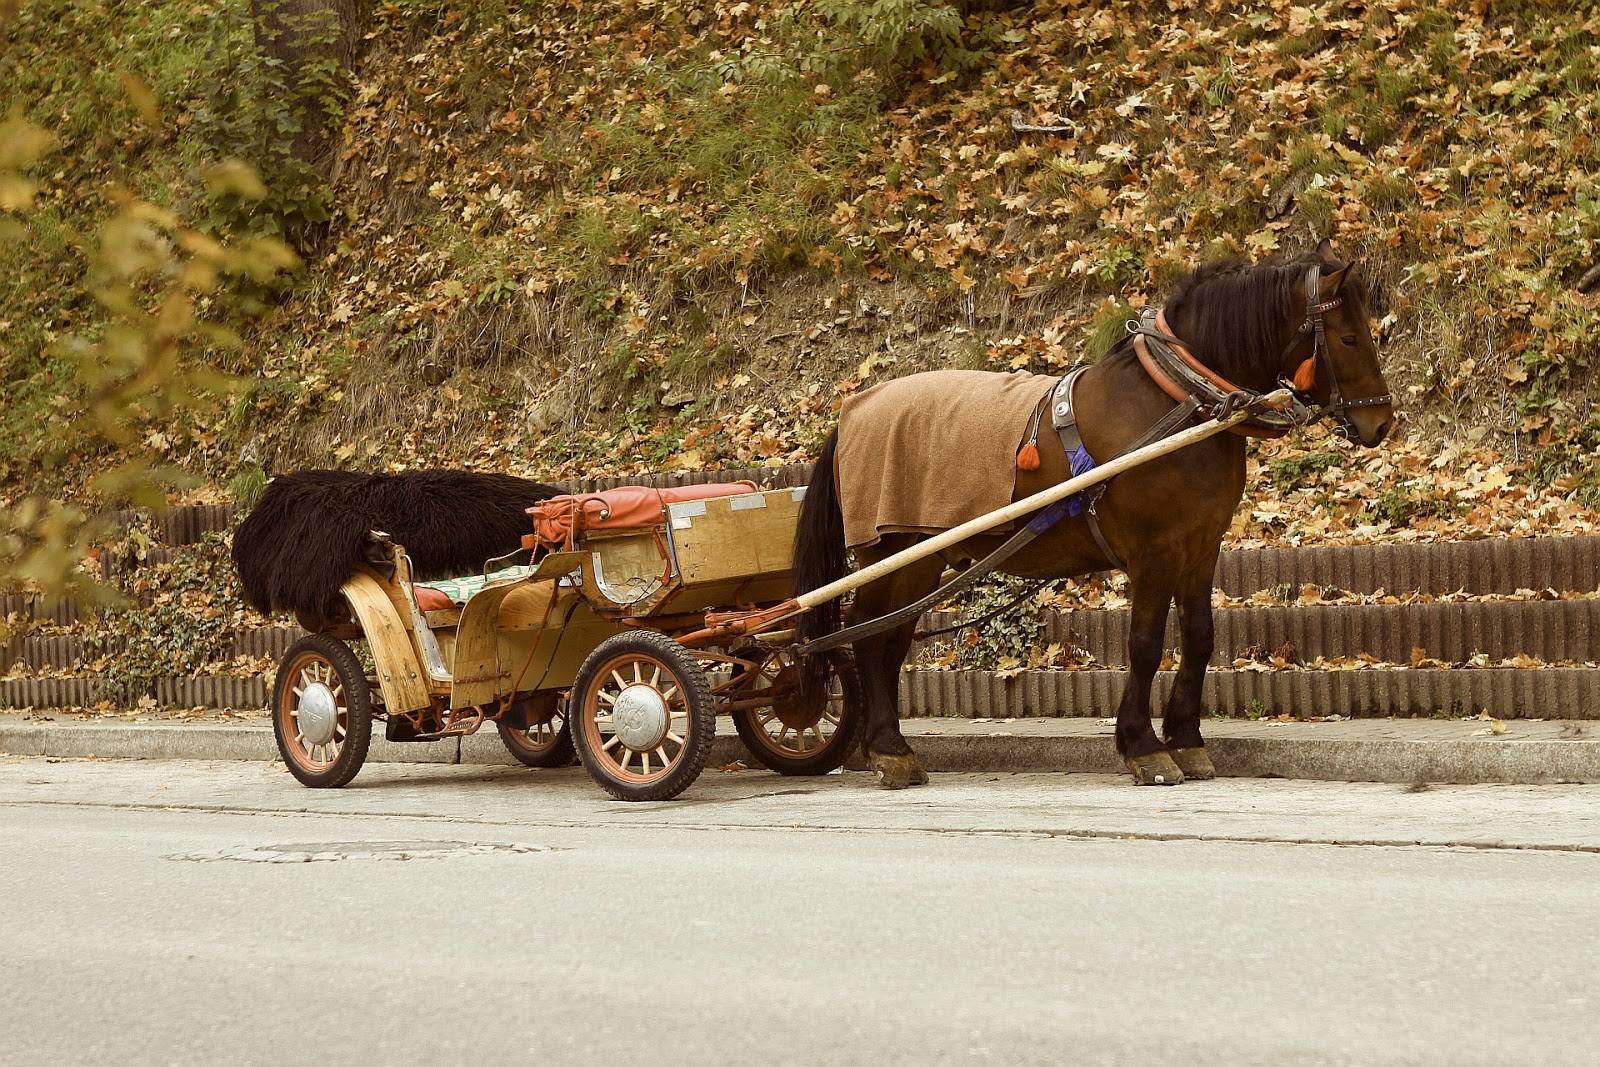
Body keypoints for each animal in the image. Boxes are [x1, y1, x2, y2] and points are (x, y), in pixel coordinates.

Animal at [791, 239, 1394, 788]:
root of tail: (853, 410)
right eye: (1348, 336)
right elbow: (1145, 645)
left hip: (920, 559)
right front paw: (1144, 746)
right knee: (868, 638)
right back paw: (888, 748)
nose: (1381, 423)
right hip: (897, 552)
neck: (1175, 400)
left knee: (889, 641)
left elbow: (1200, 637)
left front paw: (1186, 738)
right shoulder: (1155, 551)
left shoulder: (1201, 545)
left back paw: (890, 745)